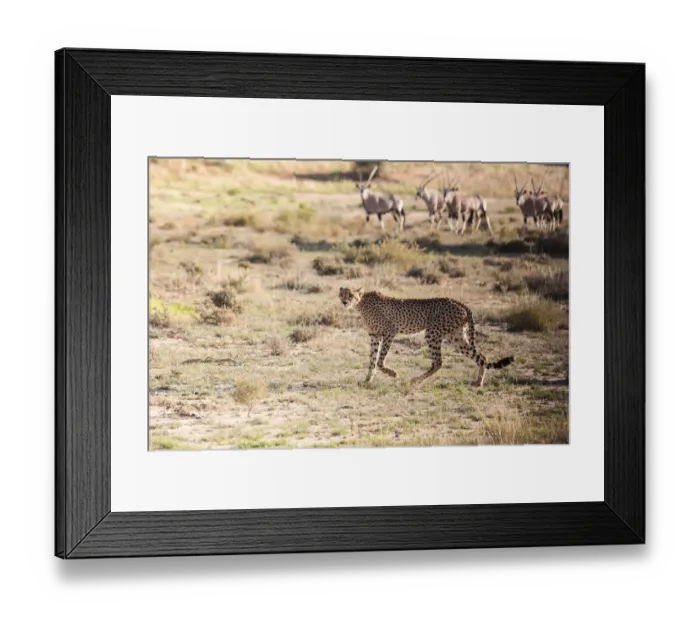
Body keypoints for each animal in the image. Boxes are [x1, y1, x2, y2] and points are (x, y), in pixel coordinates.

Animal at [339, 287, 514, 387]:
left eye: (351, 295)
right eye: (342, 294)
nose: (344, 302)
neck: (361, 303)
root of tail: (458, 302)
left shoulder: (390, 332)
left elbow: (380, 360)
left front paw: (392, 373)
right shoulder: (374, 336)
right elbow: (372, 360)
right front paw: (367, 380)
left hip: (432, 333)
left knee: (438, 362)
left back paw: (416, 380)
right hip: (455, 337)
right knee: (482, 357)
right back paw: (478, 382)